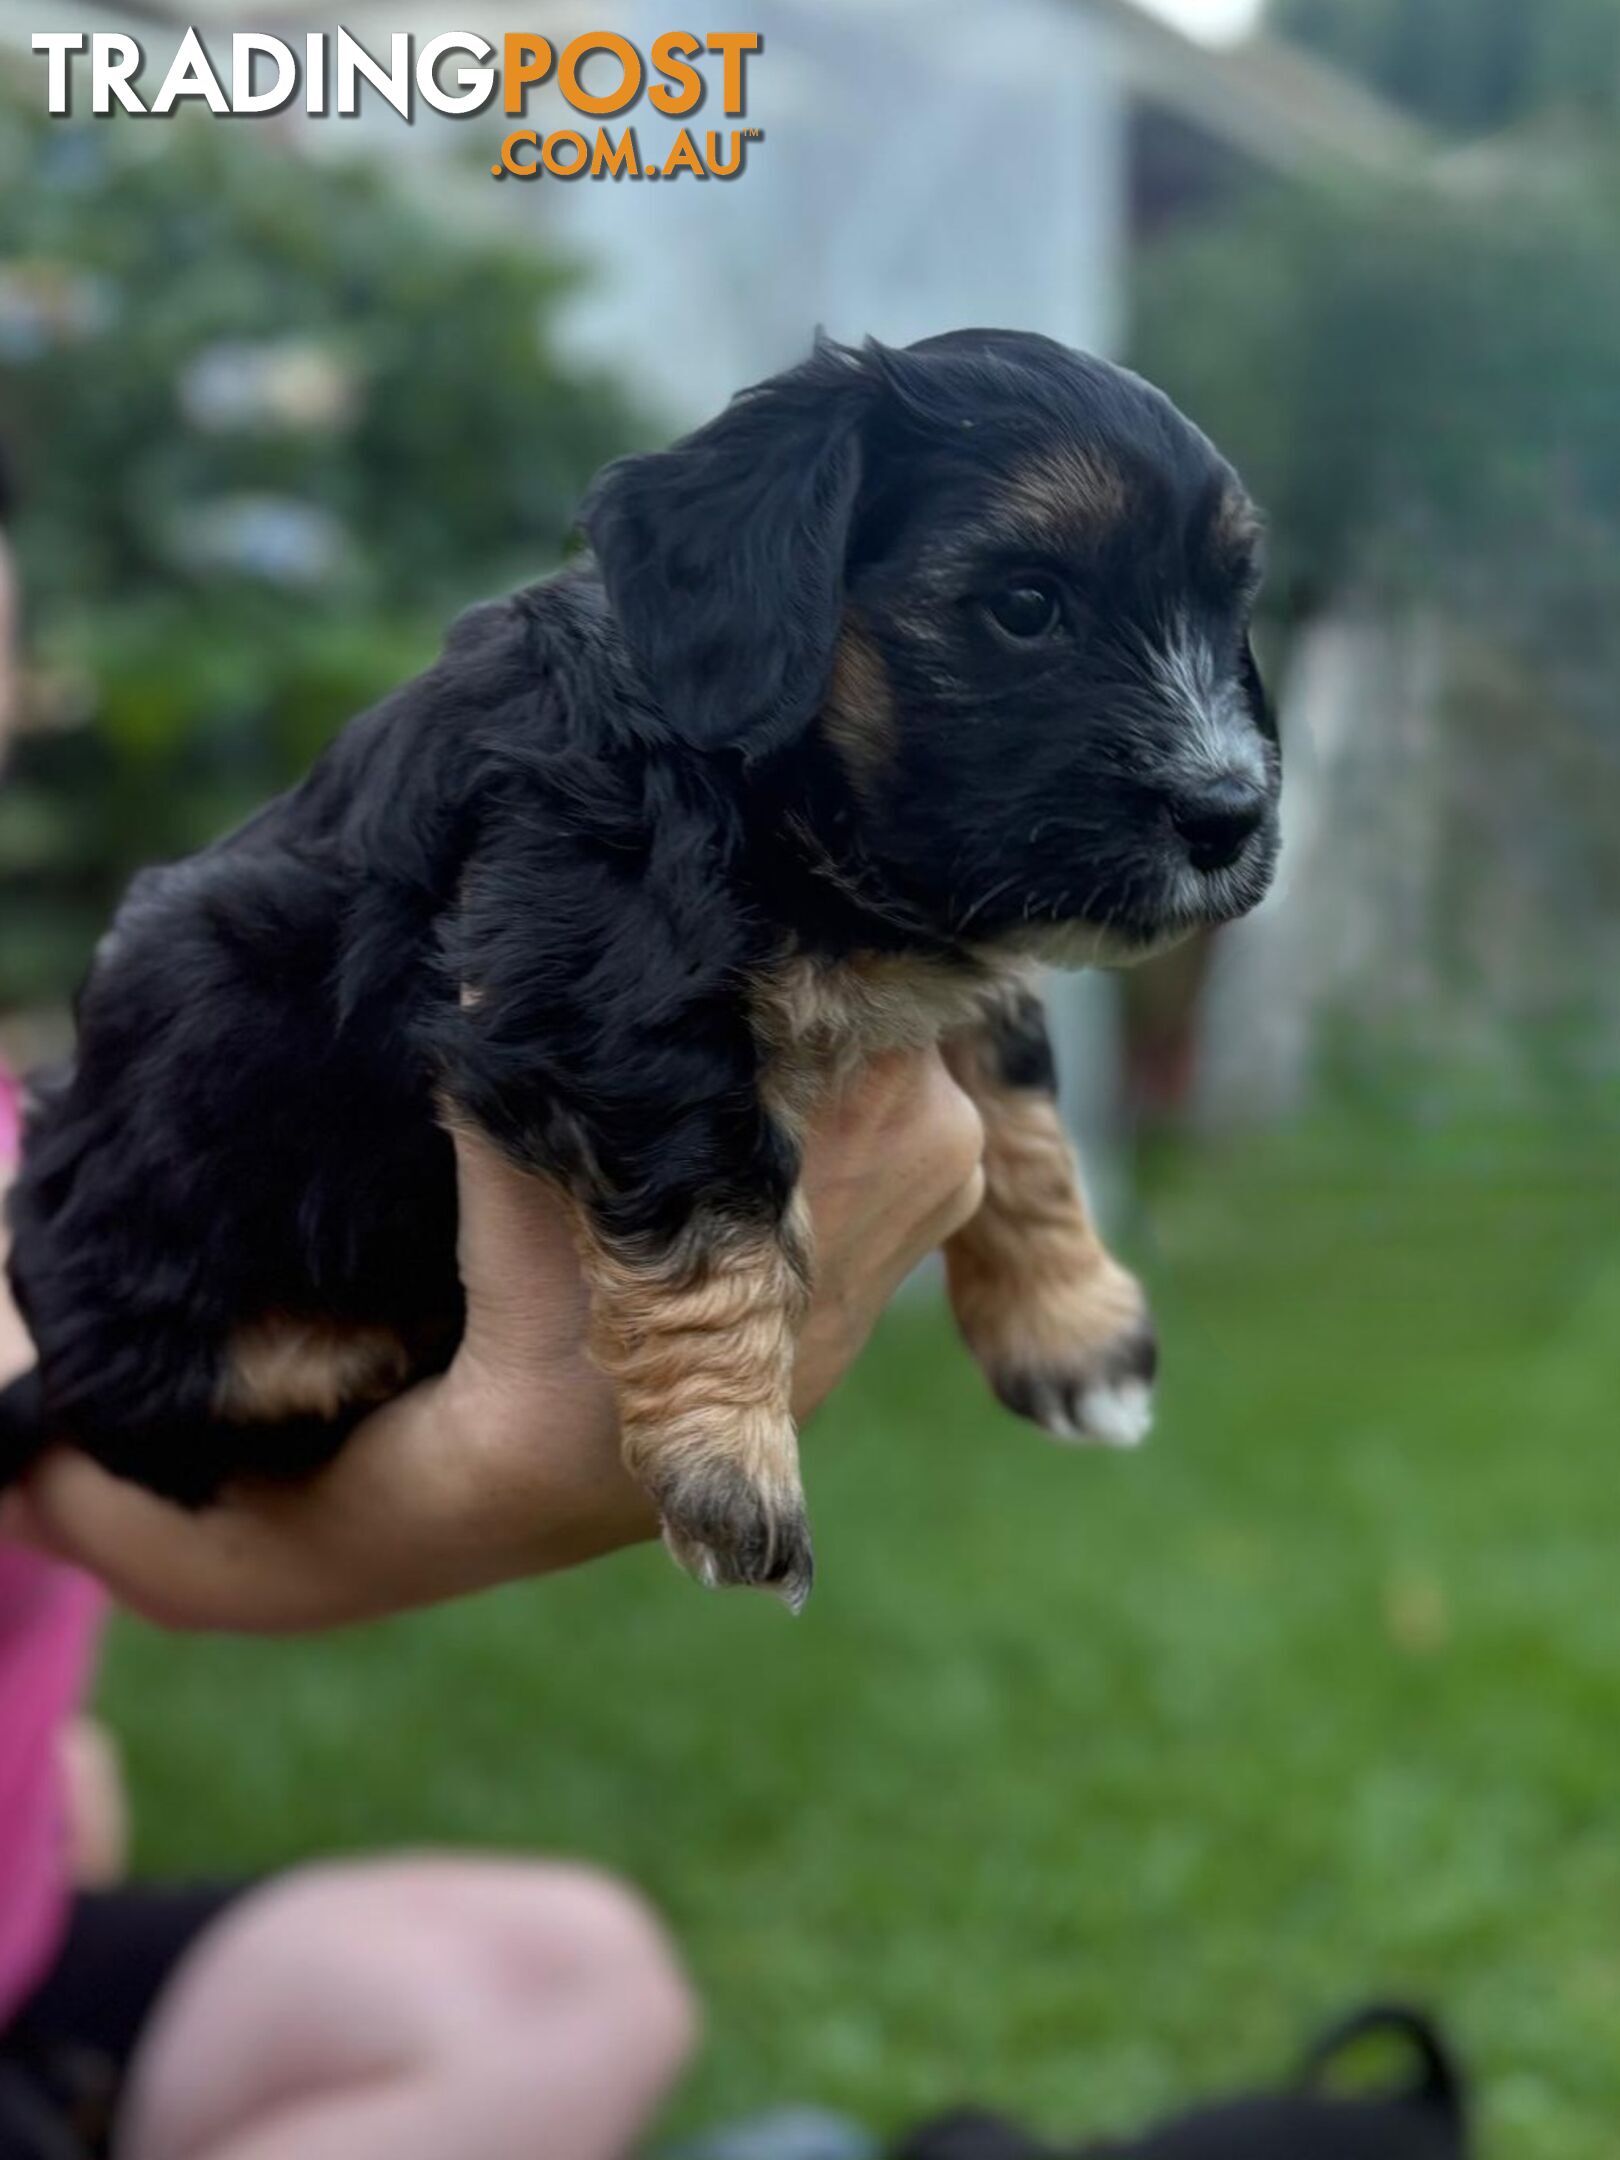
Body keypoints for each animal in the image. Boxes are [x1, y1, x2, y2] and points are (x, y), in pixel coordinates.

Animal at [6, 324, 1287, 1607]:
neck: (772, 790)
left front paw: (1070, 1325)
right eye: (1026, 607)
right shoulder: (597, 986)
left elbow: (1018, 1099)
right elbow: (713, 1202)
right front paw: (732, 1466)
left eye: (1231, 606)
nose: (1228, 813)